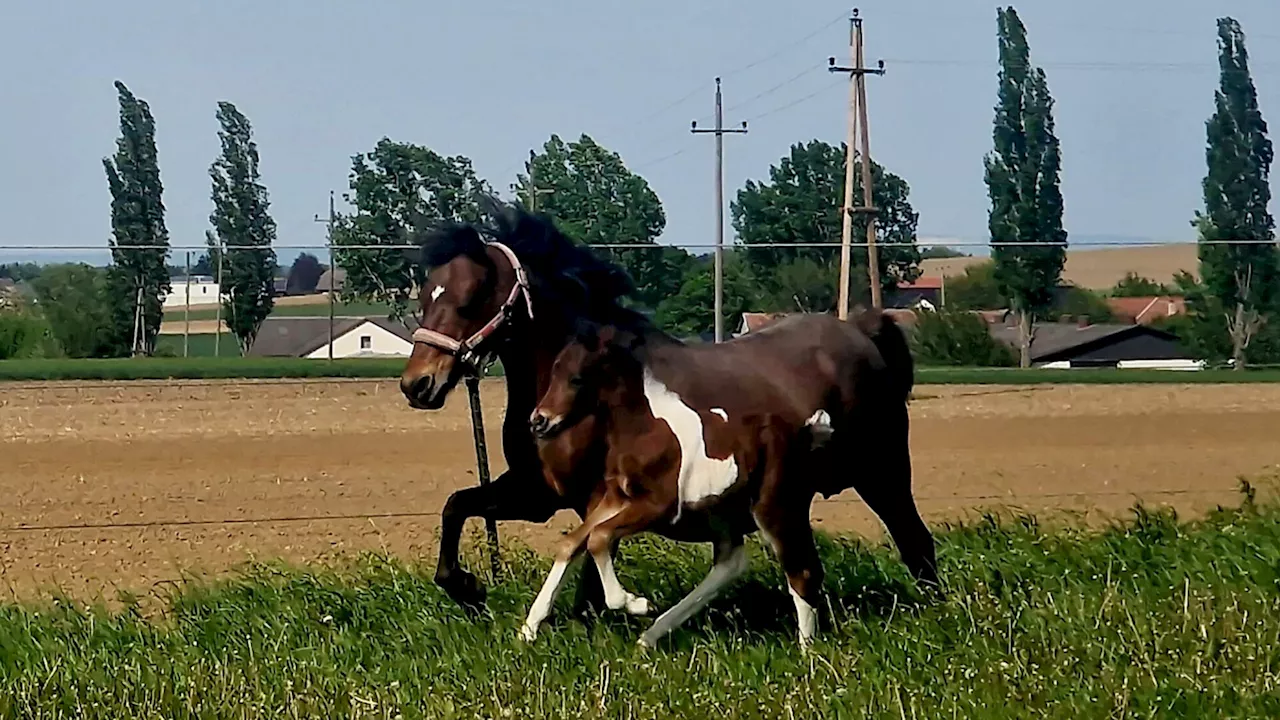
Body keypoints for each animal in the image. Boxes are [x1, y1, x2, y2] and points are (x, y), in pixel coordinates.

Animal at [394, 198, 936, 614]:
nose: (418, 384)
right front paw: (467, 588)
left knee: (917, 543)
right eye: (425, 297)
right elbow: (457, 505)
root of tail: (861, 329)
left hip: (884, 473)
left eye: (469, 298)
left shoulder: (591, 494)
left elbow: (591, 555)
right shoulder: (537, 489)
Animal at [522, 322, 839, 648]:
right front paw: (529, 628)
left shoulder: (658, 506)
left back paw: (807, 650)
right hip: (724, 516)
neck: (643, 431)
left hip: (775, 507)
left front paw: (637, 603)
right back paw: (649, 637)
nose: (538, 421)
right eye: (555, 371)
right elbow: (573, 542)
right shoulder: (615, 499)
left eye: (576, 379)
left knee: (800, 571)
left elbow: (598, 538)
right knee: (732, 563)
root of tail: (805, 432)